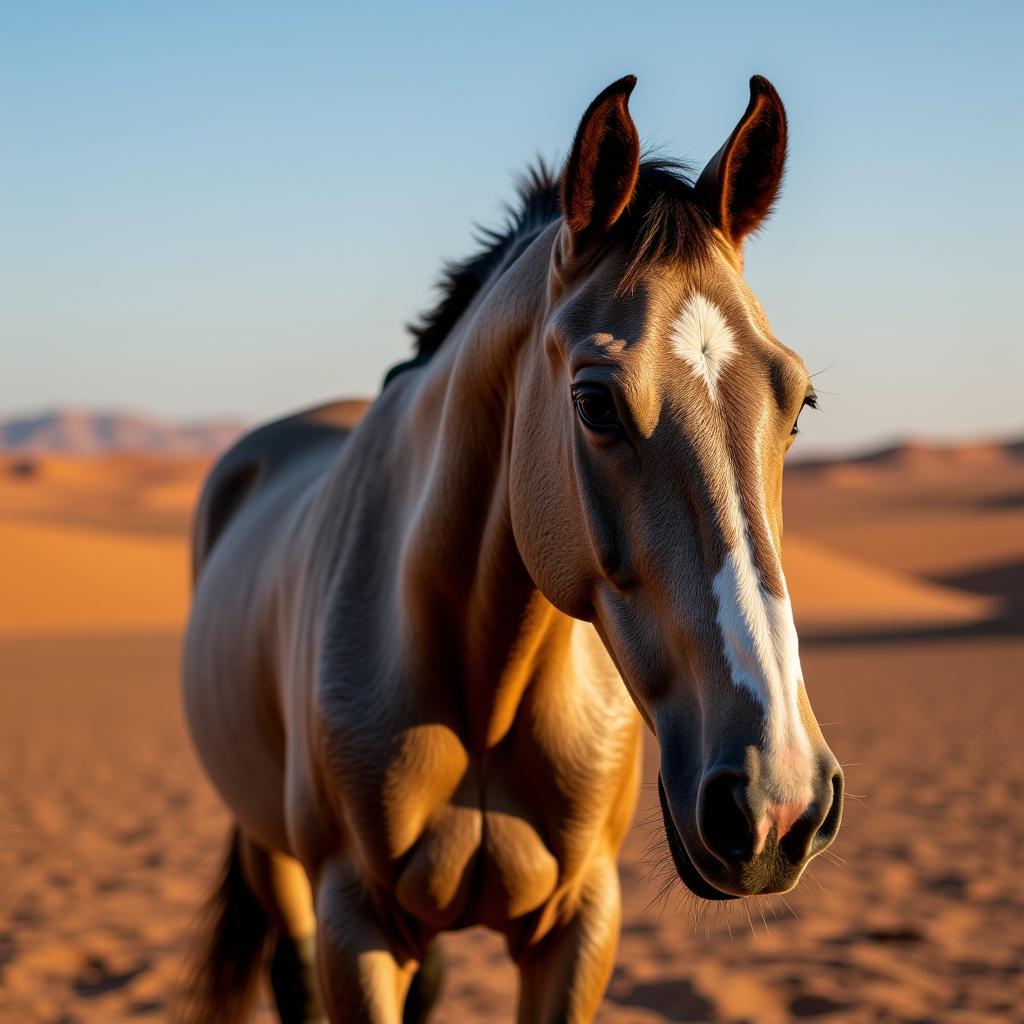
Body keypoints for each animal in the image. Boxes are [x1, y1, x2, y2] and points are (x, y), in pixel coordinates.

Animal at [180, 74, 843, 1024]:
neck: (484, 688)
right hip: (274, 860)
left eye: (798, 404)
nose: (778, 799)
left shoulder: (579, 923)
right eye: (595, 402)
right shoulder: (355, 922)